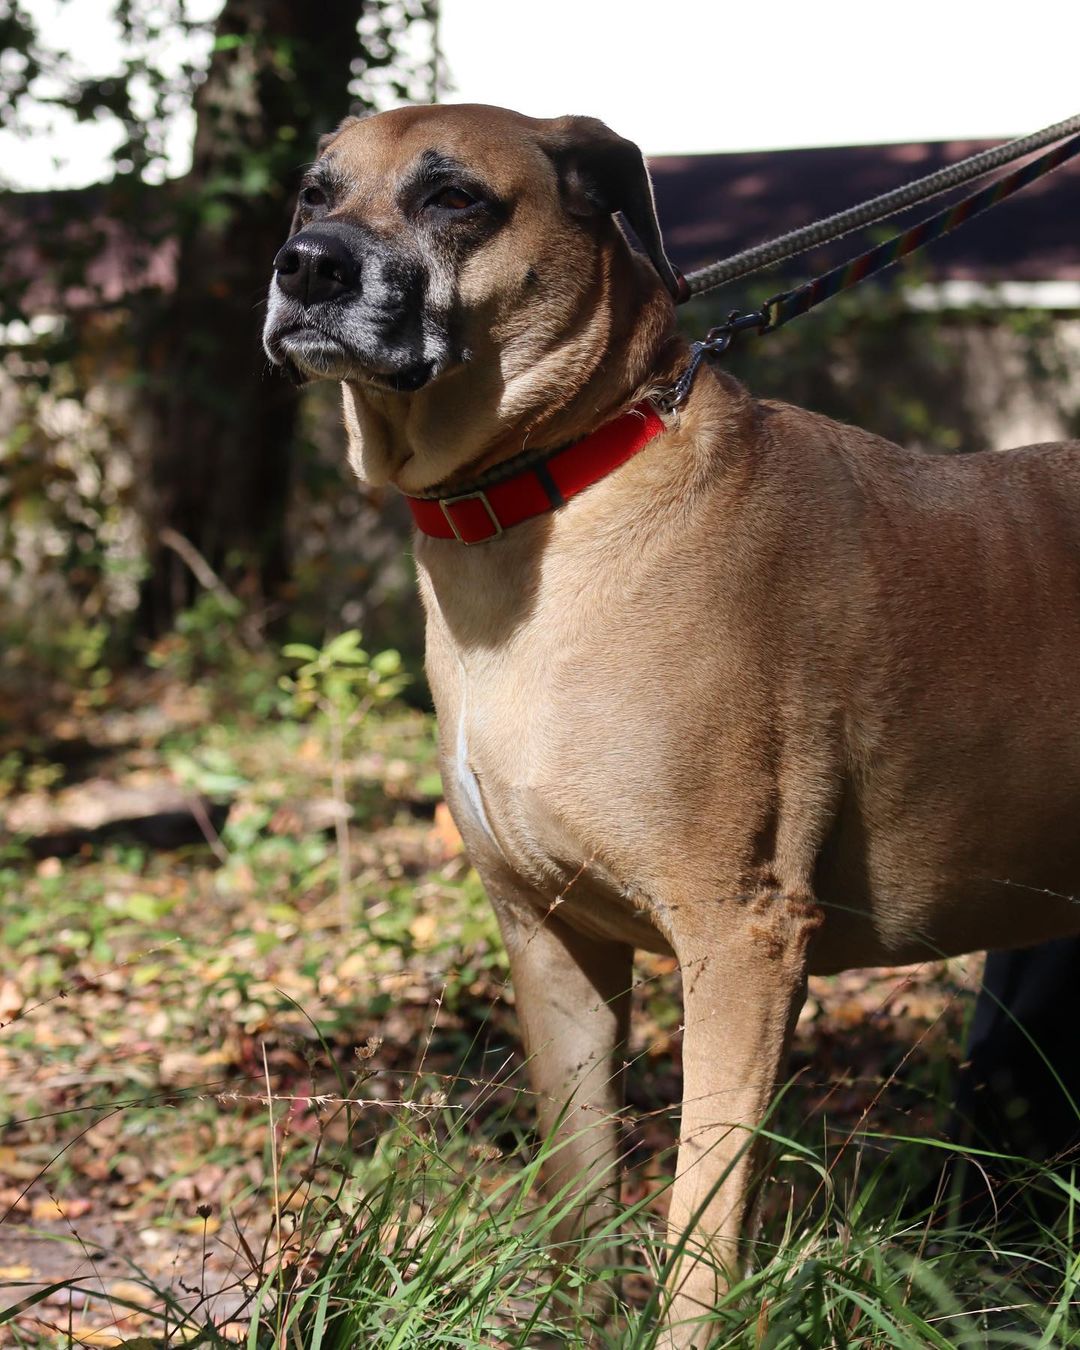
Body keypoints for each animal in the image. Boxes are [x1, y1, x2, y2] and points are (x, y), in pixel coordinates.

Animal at [265, 102, 1080, 1339]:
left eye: (454, 197)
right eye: (315, 191)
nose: (306, 264)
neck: (556, 487)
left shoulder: (743, 939)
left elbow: (701, 1222)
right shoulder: (555, 941)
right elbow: (578, 1199)